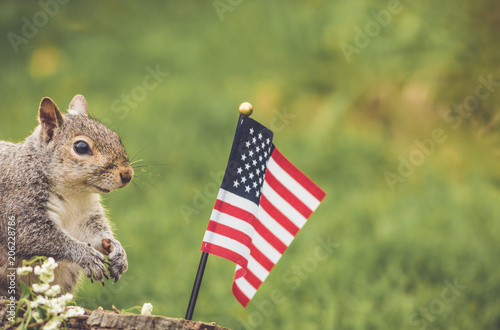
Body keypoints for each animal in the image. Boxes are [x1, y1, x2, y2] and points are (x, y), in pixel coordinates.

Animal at [0, 94, 134, 298]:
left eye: (115, 136)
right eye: (81, 147)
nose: (127, 174)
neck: (74, 193)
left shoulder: (85, 216)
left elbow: (95, 233)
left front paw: (116, 249)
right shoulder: (18, 201)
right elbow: (34, 236)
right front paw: (85, 255)